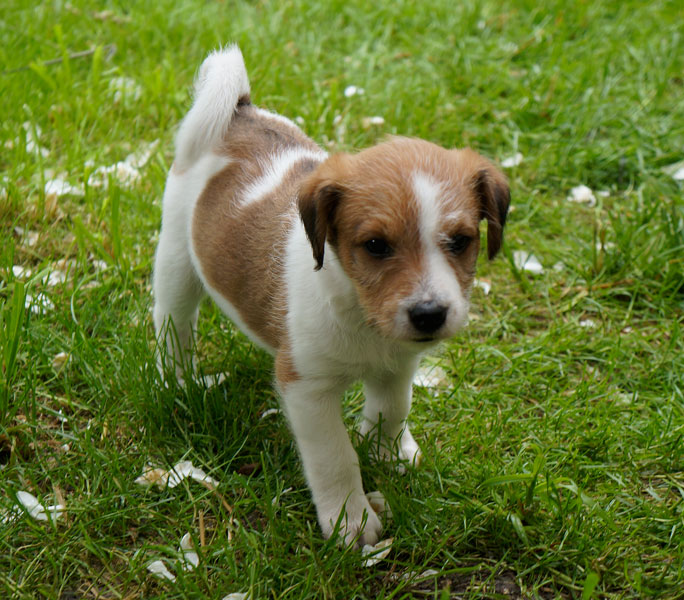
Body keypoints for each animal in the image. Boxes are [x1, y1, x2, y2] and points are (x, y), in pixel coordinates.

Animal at [153, 45, 509, 546]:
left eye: (460, 241)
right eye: (376, 245)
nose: (429, 314)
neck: (358, 308)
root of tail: (240, 112)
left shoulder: (397, 367)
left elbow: (392, 409)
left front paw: (388, 453)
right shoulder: (307, 388)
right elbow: (335, 457)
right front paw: (350, 519)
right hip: (177, 262)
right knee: (174, 324)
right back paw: (178, 381)